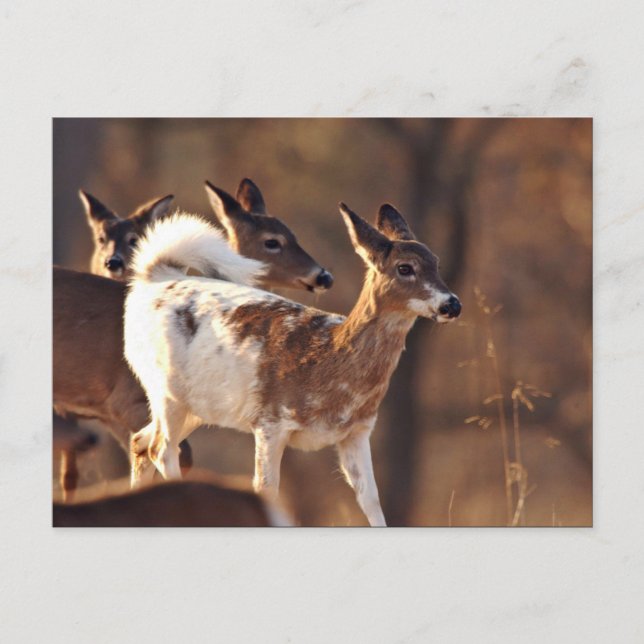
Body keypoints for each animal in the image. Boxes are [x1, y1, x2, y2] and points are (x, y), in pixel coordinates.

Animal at [124, 201, 461, 526]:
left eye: (436, 262)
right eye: (405, 267)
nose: (452, 304)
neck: (328, 360)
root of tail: (157, 277)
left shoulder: (358, 431)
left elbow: (371, 501)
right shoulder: (270, 421)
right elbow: (265, 489)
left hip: (199, 405)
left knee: (140, 441)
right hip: (164, 389)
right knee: (160, 449)